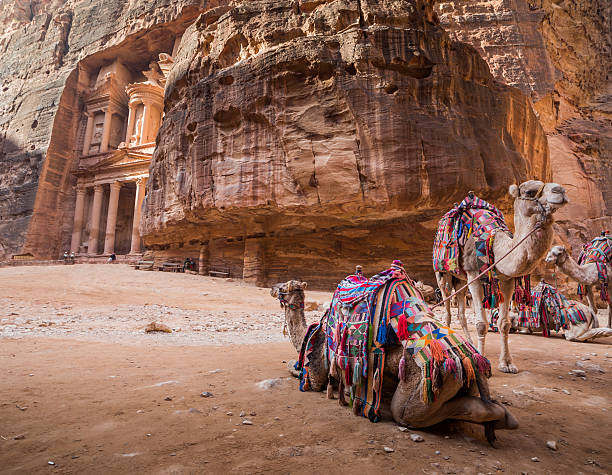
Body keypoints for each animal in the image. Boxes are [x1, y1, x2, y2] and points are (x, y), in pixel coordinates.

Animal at [272, 280, 516, 444]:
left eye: (284, 286)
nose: (273, 287)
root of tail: (471, 360)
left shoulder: (315, 374)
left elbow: (297, 370)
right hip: (465, 379)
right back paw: (504, 419)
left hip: (429, 384)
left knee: (406, 414)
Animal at [436, 180, 568, 374]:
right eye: (530, 192)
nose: (560, 191)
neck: (496, 247)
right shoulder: (474, 275)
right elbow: (481, 324)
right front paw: (482, 358)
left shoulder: (506, 280)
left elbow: (504, 324)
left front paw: (507, 364)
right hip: (442, 272)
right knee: (446, 307)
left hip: (460, 278)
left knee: (460, 306)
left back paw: (469, 344)